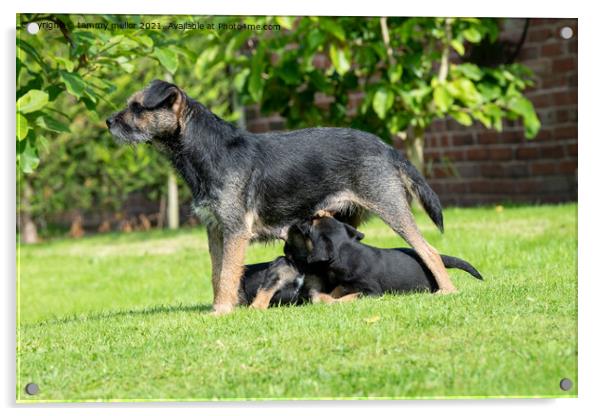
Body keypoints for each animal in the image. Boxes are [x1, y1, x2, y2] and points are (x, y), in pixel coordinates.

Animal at [106, 79, 454, 316]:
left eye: (137, 108)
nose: (108, 121)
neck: (206, 149)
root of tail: (385, 147)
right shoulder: (215, 230)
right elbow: (217, 274)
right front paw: (222, 306)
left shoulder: (235, 231)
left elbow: (228, 273)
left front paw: (222, 312)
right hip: (345, 218)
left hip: (391, 207)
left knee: (429, 251)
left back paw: (447, 291)